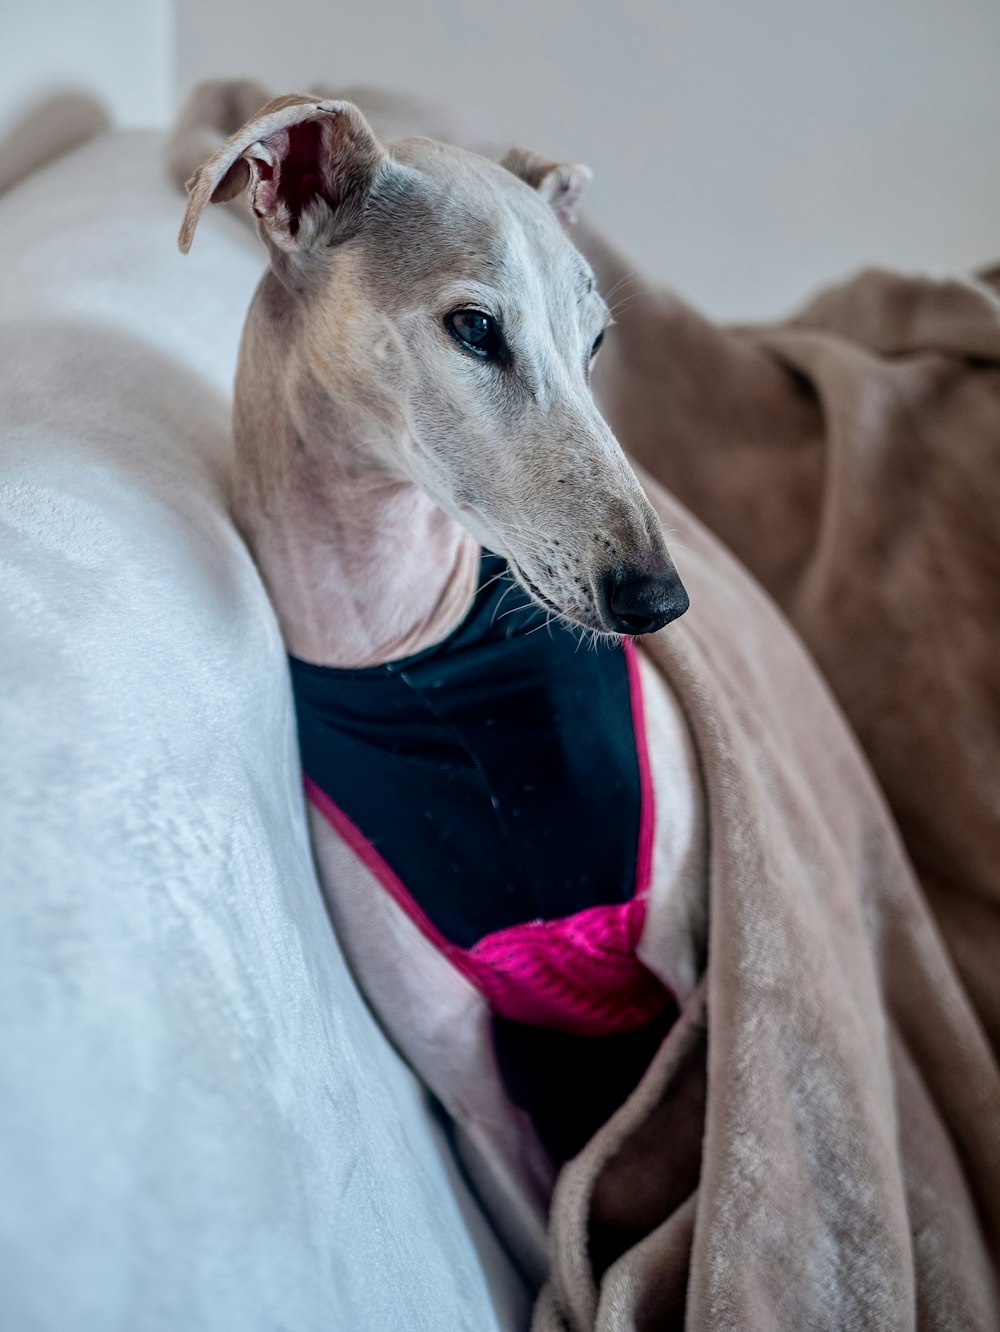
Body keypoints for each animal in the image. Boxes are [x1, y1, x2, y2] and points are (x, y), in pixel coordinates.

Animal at [179, 91, 708, 1278]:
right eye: (475, 329)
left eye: (595, 341)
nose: (658, 598)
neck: (410, 653)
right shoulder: (478, 1103)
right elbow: (560, 1253)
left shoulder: (691, 980)